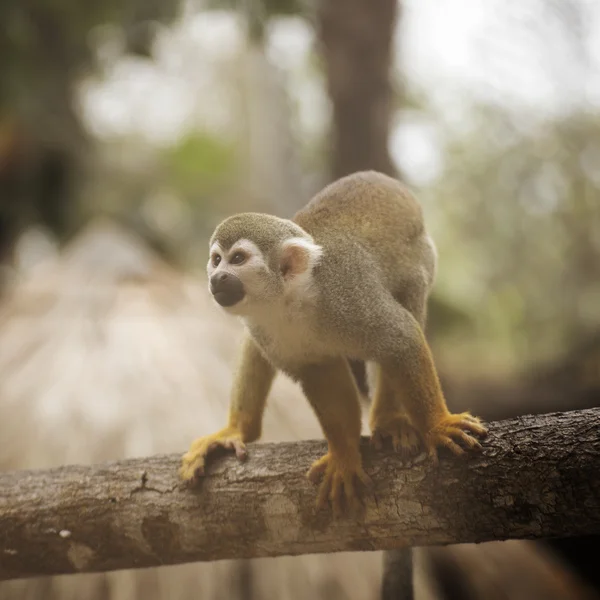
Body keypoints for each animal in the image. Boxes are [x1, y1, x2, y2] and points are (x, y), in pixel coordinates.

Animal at [182, 171, 488, 512]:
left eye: (237, 259)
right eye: (216, 259)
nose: (217, 277)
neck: (290, 300)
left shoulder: (346, 295)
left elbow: (401, 337)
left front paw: (438, 425)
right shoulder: (264, 325)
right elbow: (321, 372)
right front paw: (344, 457)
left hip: (422, 256)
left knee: (407, 307)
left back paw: (389, 419)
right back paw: (239, 429)